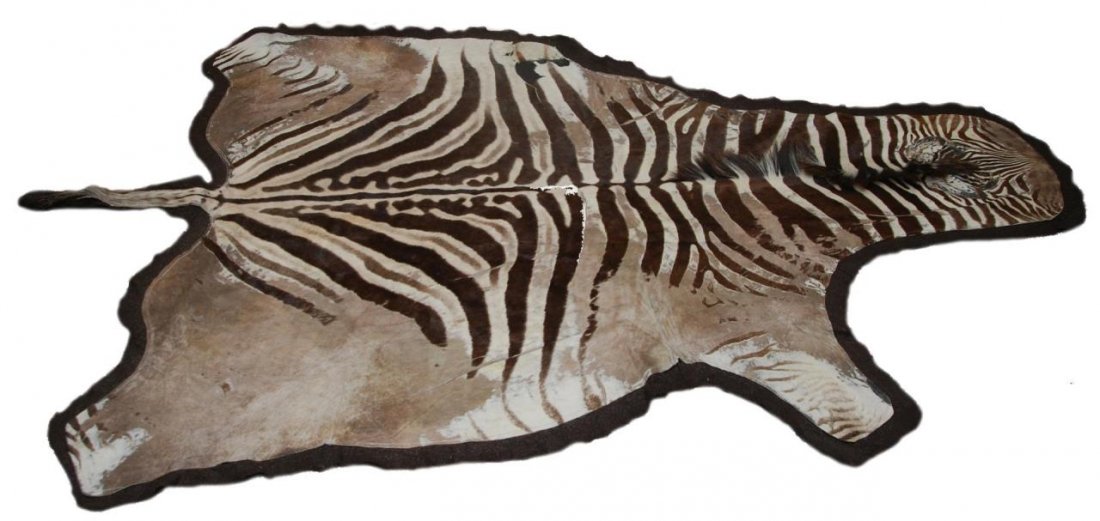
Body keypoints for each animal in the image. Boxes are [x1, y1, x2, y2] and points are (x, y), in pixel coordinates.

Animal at [21, 28, 1081, 505]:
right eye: (1015, 167)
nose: (1056, 181)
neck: (782, 181)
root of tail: (236, 192)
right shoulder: (767, 323)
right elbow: (869, 414)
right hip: (248, 399)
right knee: (97, 439)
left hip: (283, 60)